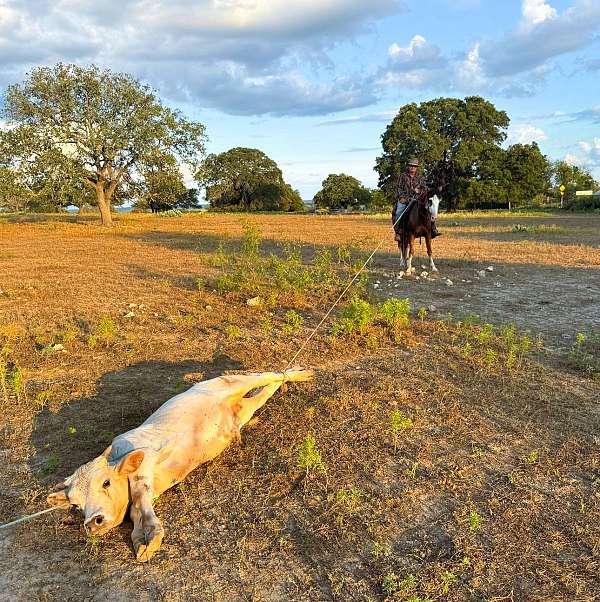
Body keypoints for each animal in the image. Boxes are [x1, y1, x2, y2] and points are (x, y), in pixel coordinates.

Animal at [48, 368, 314, 560]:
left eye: (106, 482)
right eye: (75, 504)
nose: (93, 523)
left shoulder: (145, 455)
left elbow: (141, 494)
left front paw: (151, 536)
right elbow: (137, 509)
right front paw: (143, 539)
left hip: (231, 382)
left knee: (267, 375)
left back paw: (301, 373)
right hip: (242, 411)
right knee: (265, 392)